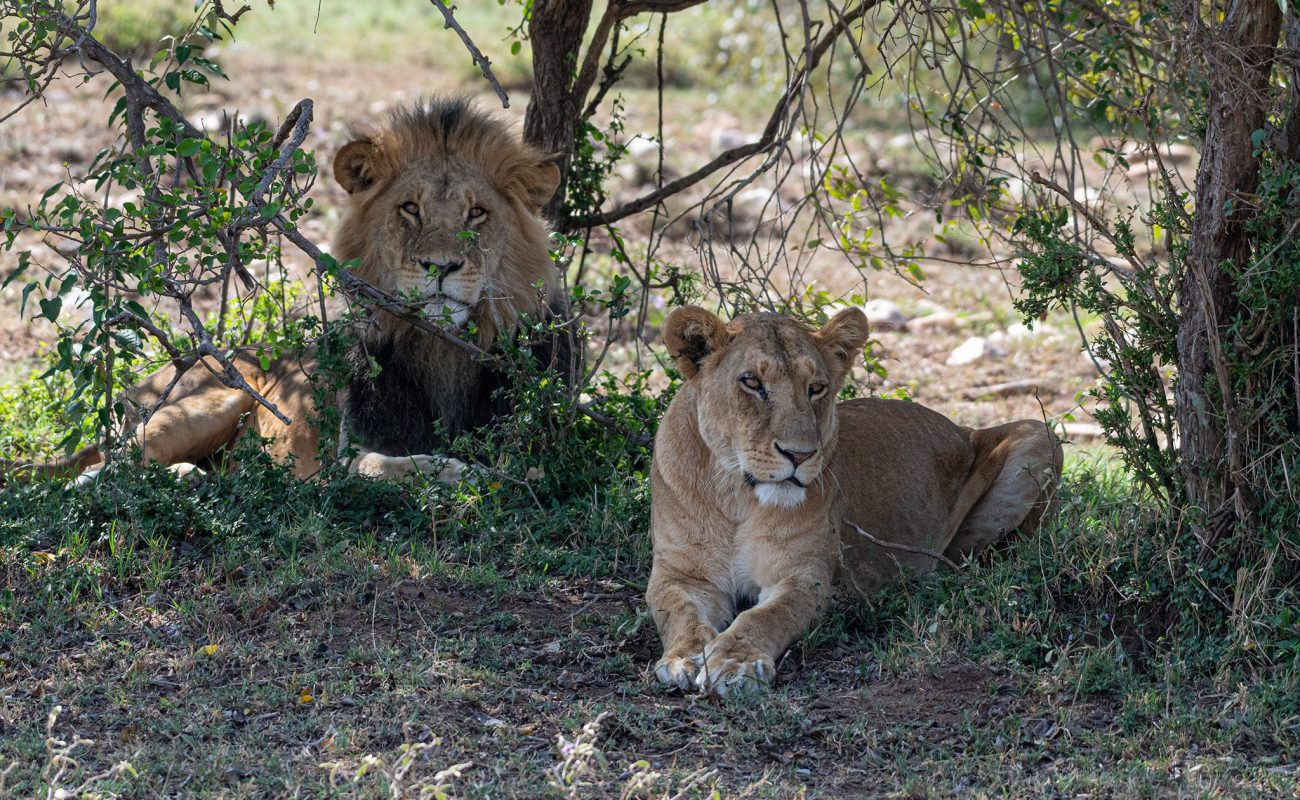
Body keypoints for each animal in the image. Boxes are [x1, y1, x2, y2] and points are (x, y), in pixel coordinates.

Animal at [1, 97, 570, 484]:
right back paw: (186, 476)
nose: (441, 266)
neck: (440, 350)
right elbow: (394, 466)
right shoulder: (342, 458)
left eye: (477, 213)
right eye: (410, 208)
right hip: (208, 400)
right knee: (96, 475)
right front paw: (472, 475)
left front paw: (507, 472)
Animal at [646, 306, 1062, 695]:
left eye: (816, 388)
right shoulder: (680, 574)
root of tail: (964, 429)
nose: (800, 454)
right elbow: (680, 613)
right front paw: (685, 657)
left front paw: (735, 661)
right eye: (752, 382)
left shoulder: (805, 580)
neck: (738, 498)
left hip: (1041, 436)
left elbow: (766, 617)